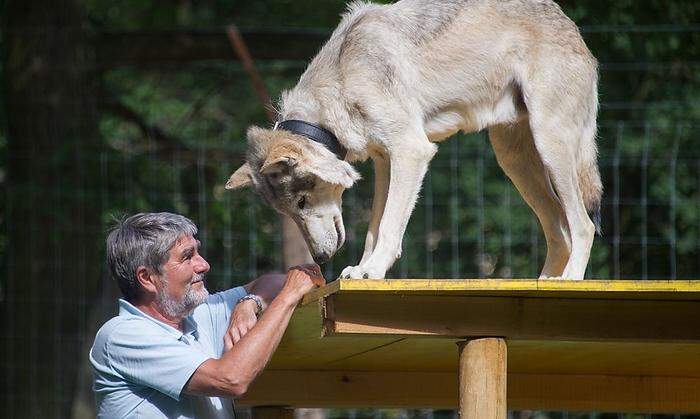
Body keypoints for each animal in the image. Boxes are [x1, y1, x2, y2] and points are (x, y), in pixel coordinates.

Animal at [226, 0, 600, 282]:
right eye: (290, 211)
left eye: (303, 202)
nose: (319, 259)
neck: (343, 78)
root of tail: (571, 26)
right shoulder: (384, 162)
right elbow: (374, 228)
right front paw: (361, 269)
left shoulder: (411, 151)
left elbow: (390, 227)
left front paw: (374, 270)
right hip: (514, 162)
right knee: (560, 230)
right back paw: (547, 281)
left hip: (549, 146)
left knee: (583, 225)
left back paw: (569, 280)